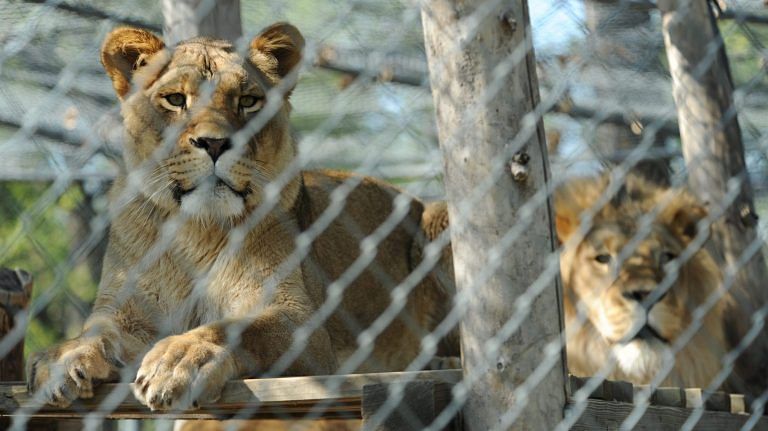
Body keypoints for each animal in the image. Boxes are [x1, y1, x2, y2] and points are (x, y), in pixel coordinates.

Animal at [27, 23, 452, 412]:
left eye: (248, 101)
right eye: (175, 99)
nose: (214, 143)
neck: (197, 229)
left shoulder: (304, 325)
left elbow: (238, 328)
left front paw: (179, 360)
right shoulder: (126, 314)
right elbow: (95, 334)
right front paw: (61, 359)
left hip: (440, 215)